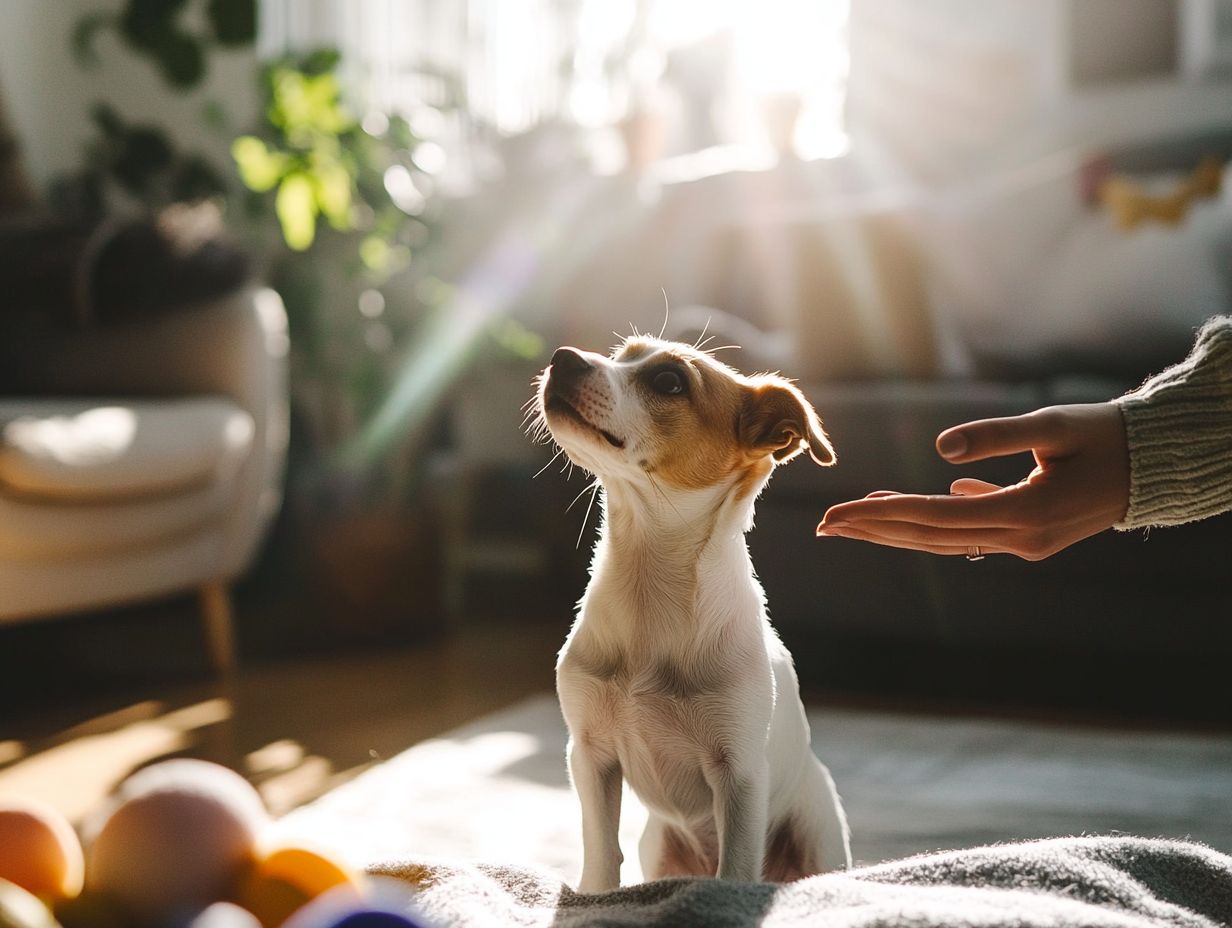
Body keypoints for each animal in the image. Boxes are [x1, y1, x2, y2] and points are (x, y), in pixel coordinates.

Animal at [534, 335, 852, 892]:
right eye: (619, 354)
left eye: (669, 382)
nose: (562, 357)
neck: (650, 584)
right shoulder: (590, 756)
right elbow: (601, 855)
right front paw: (595, 896)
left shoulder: (739, 774)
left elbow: (736, 872)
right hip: (659, 845)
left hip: (817, 839)